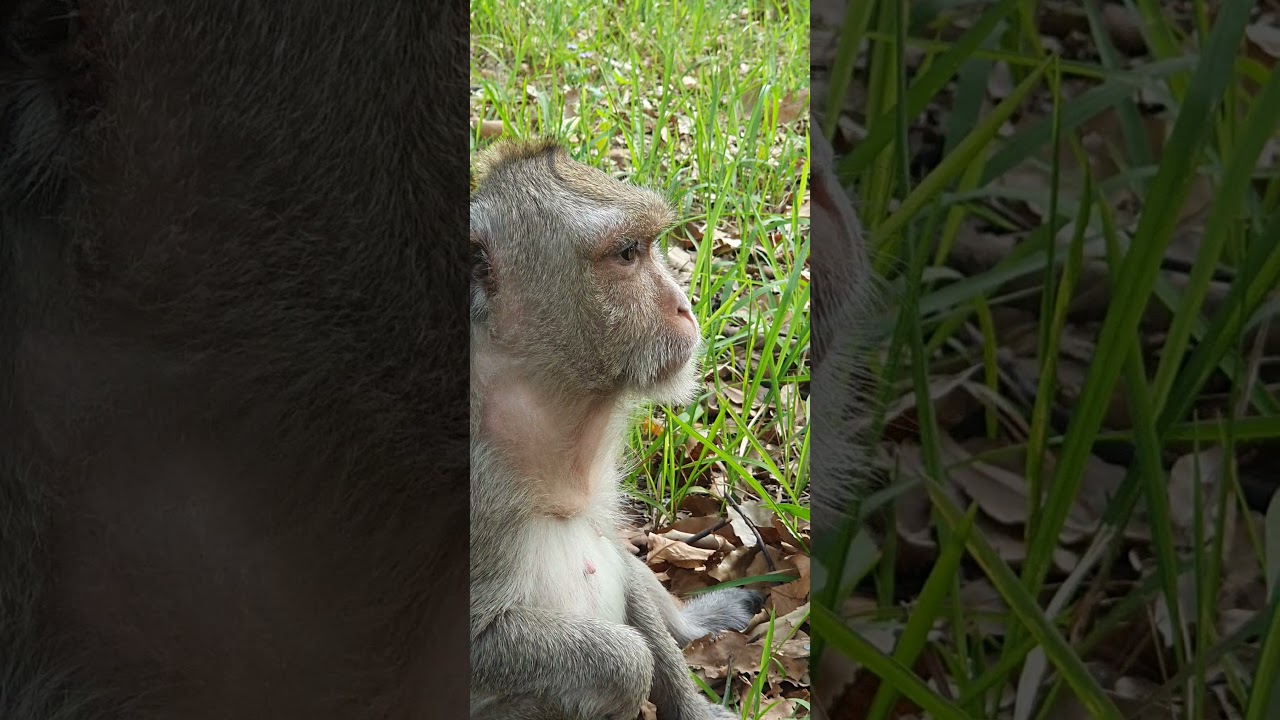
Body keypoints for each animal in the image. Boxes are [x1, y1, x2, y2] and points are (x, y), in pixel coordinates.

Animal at [469, 139, 764, 720]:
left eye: (648, 248)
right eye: (627, 254)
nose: (685, 306)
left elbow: (613, 554)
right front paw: (631, 666)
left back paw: (693, 623)